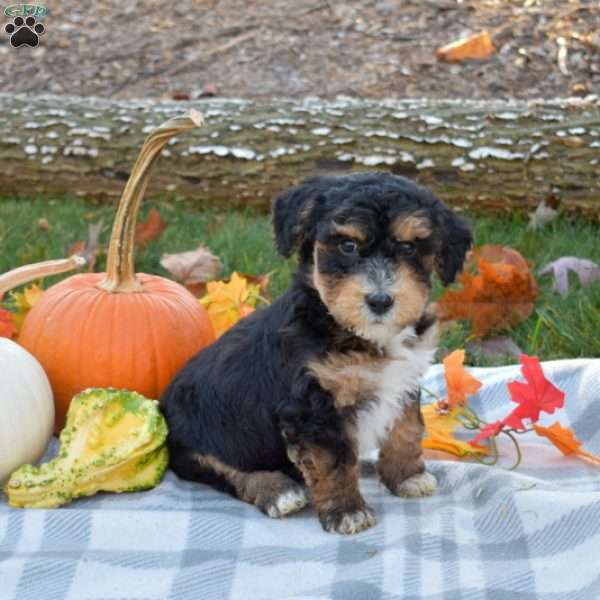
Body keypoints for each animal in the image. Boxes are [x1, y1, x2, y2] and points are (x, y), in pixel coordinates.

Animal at [161, 170, 474, 536]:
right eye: (348, 246)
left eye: (409, 247)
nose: (380, 300)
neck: (357, 333)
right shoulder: (314, 408)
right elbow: (334, 463)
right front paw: (347, 511)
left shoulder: (403, 381)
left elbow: (406, 430)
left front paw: (408, 477)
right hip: (197, 443)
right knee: (227, 471)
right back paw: (277, 491)